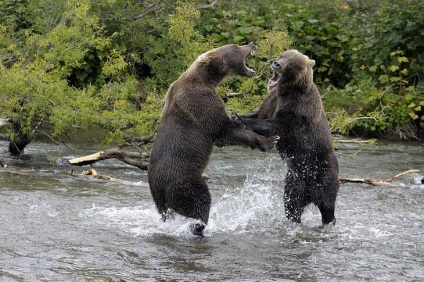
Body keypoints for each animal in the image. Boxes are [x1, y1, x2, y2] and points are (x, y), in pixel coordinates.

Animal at [147, 42, 276, 236]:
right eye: (236, 46)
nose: (251, 43)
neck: (207, 79)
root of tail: (161, 188)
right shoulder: (201, 101)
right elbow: (223, 128)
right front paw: (268, 140)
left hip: (158, 198)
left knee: (165, 212)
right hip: (184, 181)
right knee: (200, 202)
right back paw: (200, 226)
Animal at [234, 49, 340, 227]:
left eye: (291, 62)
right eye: (282, 55)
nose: (276, 63)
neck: (287, 90)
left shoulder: (300, 106)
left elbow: (279, 125)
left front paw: (239, 118)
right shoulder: (273, 100)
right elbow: (259, 113)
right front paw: (235, 114)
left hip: (323, 173)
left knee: (327, 204)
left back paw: (328, 222)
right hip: (295, 179)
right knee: (292, 203)